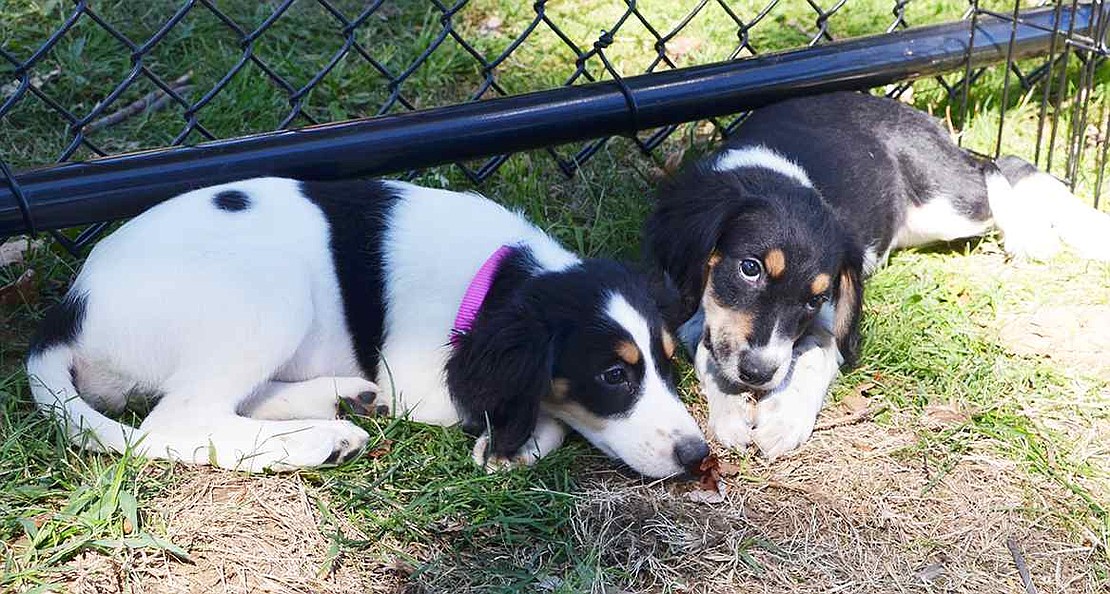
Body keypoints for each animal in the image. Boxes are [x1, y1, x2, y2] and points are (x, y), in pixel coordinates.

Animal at [26, 177, 705, 479]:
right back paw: (314, 441)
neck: (495, 275)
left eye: (669, 363)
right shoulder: (420, 382)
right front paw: (517, 440)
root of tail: (71, 309)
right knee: (176, 421)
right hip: (274, 290)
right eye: (613, 375)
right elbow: (543, 408)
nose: (698, 455)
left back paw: (342, 401)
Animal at [648, 91, 1110, 459]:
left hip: (946, 204)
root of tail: (911, 112)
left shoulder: (830, 322)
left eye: (814, 298)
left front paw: (783, 422)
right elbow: (710, 353)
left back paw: (1048, 234)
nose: (760, 375)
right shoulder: (690, 311)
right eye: (750, 268)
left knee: (1004, 167)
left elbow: (814, 358)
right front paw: (731, 416)